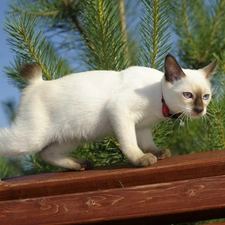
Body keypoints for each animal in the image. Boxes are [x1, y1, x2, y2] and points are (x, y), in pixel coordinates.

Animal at [0, 54, 218, 170]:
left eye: (206, 97)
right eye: (188, 95)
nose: (200, 110)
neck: (159, 98)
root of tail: (36, 83)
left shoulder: (143, 126)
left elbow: (148, 143)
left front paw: (158, 153)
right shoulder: (121, 111)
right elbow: (130, 145)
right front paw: (141, 160)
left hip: (71, 137)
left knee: (46, 153)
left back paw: (80, 165)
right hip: (29, 139)